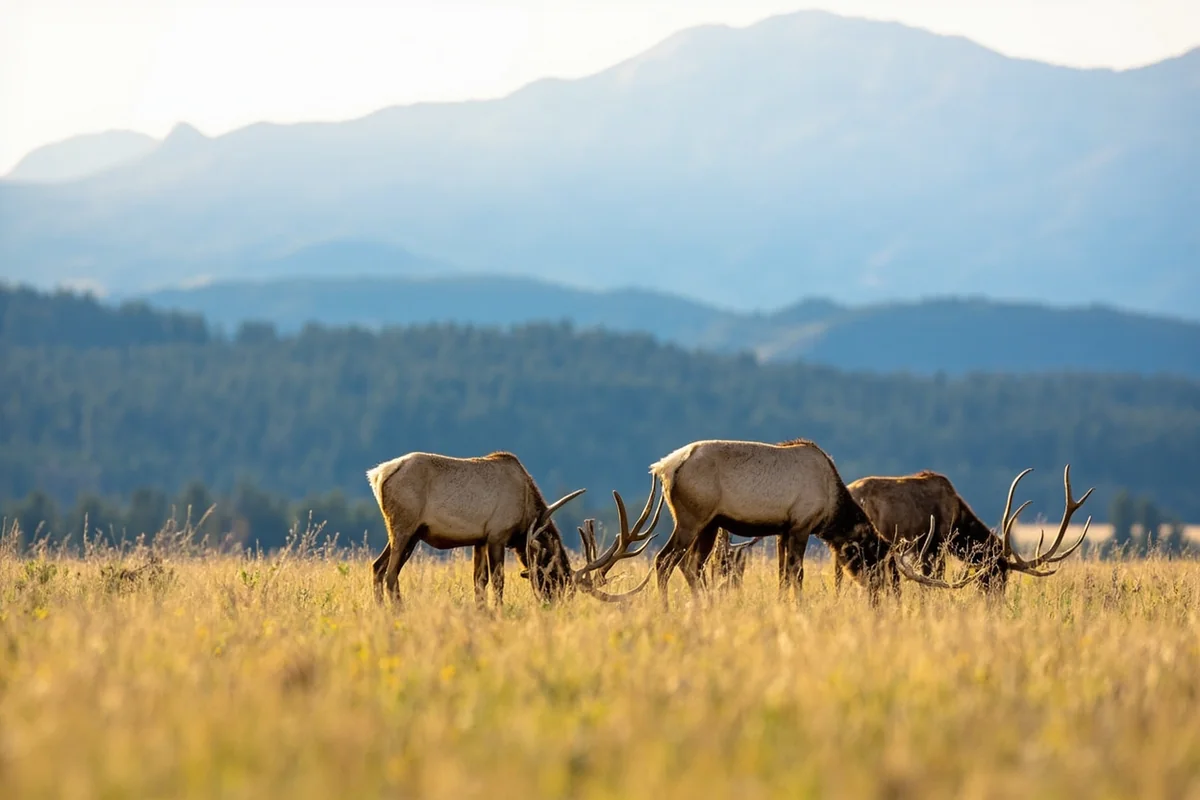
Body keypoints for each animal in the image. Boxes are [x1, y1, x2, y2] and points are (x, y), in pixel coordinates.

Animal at [366, 451, 661, 607]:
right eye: (557, 583)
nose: (554, 608)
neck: (526, 516)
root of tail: (378, 474)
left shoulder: (479, 539)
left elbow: (479, 581)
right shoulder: (498, 535)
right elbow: (498, 581)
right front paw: (498, 612)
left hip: (407, 534)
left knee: (378, 567)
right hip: (404, 527)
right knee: (390, 573)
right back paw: (398, 612)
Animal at [644, 438, 900, 609]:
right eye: (879, 559)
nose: (888, 598)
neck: (832, 509)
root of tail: (664, 468)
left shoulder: (783, 531)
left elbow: (782, 574)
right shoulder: (801, 526)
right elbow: (797, 572)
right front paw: (799, 606)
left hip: (709, 525)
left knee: (691, 564)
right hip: (691, 520)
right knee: (664, 560)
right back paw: (666, 608)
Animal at [836, 466, 1094, 593]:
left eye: (1006, 576)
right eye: (995, 573)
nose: (995, 602)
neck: (958, 518)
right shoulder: (935, 544)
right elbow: (932, 581)